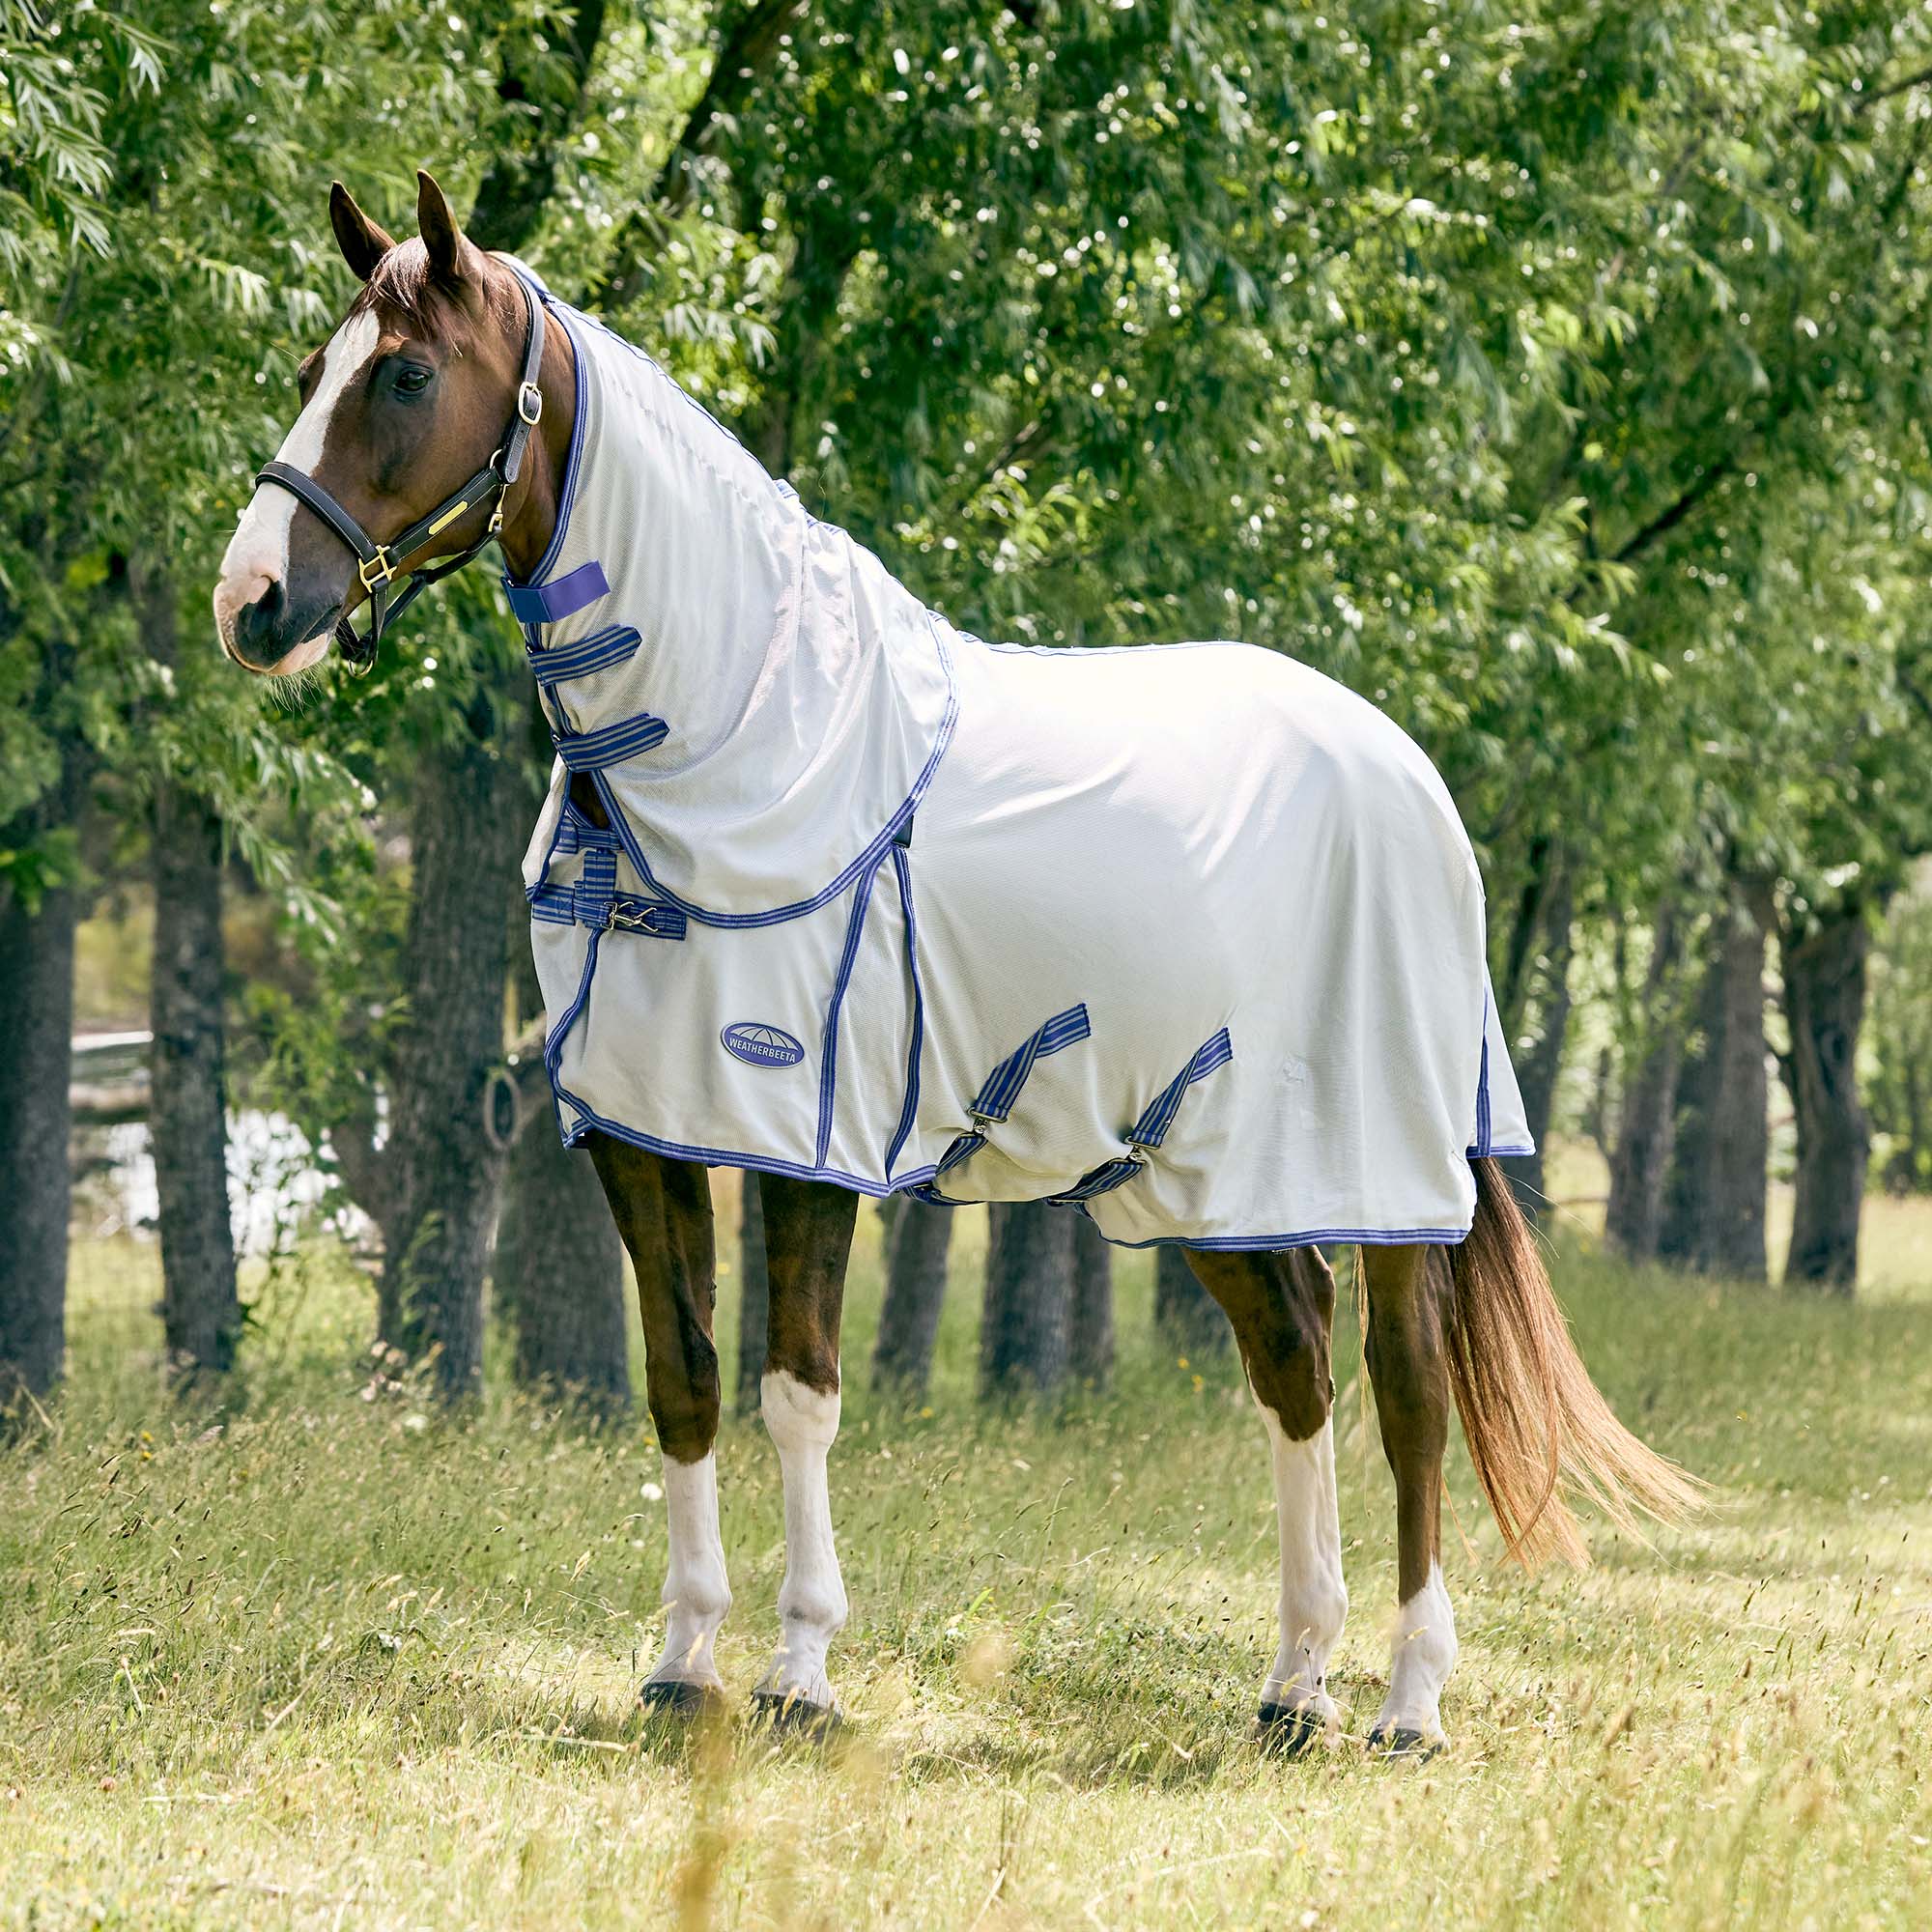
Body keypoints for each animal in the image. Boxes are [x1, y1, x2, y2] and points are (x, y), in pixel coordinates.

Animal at [213, 172, 1699, 1755]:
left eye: (404, 376)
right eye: (309, 369)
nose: (252, 603)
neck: (736, 745)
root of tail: (1404, 771)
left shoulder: (805, 1135)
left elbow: (798, 1390)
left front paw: (801, 1673)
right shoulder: (641, 1131)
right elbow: (683, 1381)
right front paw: (681, 1663)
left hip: (1385, 1166)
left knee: (1406, 1392)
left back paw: (1408, 1701)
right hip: (1210, 1168)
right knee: (1293, 1367)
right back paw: (1293, 1685)